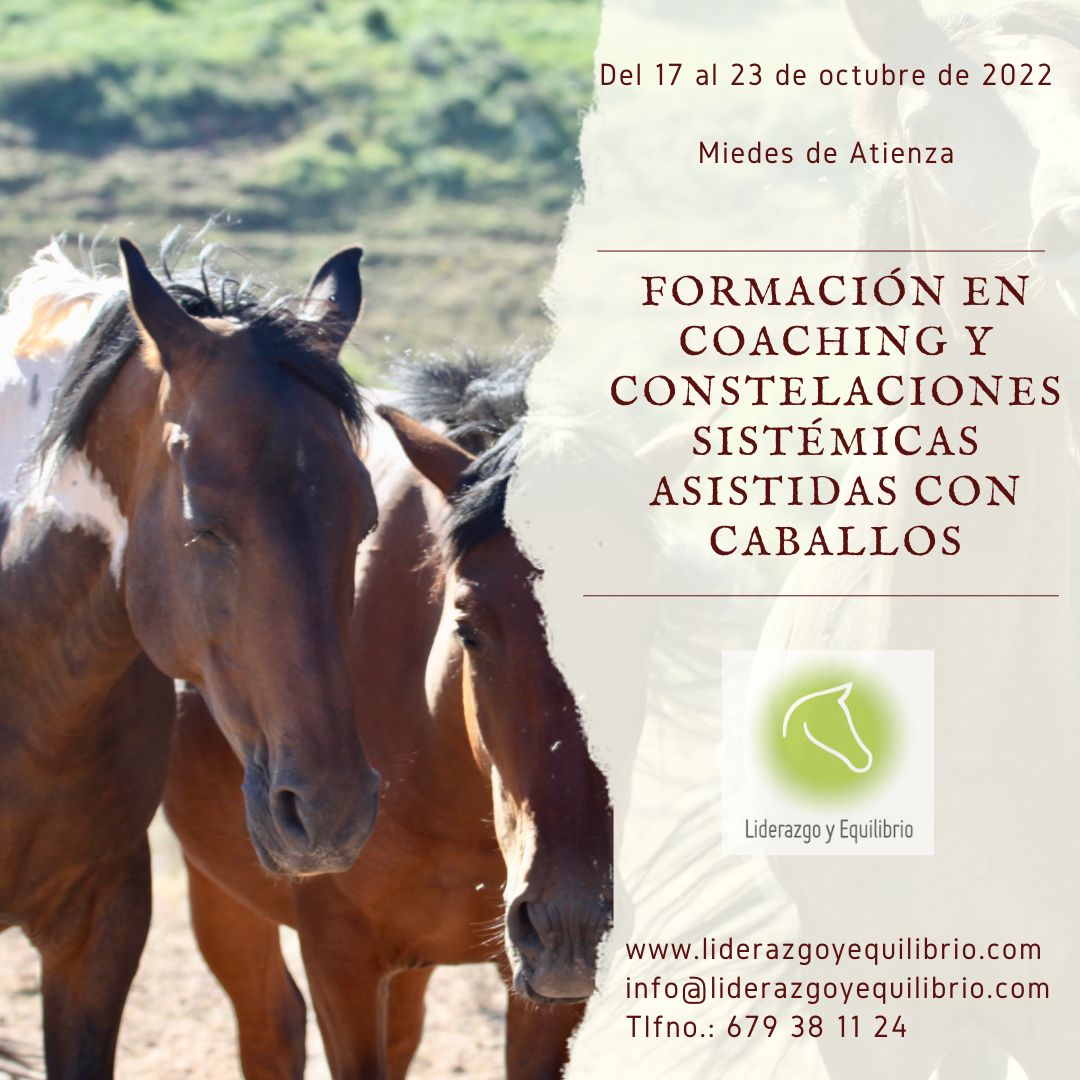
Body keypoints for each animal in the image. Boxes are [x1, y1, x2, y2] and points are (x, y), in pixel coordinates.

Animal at [164, 356, 613, 1078]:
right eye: (468, 625)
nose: (570, 928)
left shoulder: (543, 995)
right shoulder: (339, 958)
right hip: (223, 901)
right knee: (268, 1027)